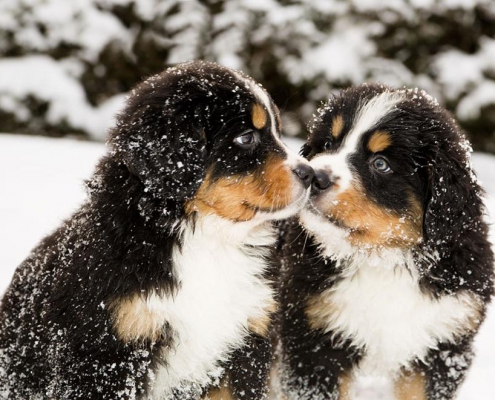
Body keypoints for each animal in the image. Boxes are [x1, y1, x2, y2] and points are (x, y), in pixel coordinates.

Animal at [0, 60, 314, 400]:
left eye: (278, 131)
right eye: (246, 138)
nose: (310, 174)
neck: (208, 239)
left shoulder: (245, 344)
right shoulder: (109, 353)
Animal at [278, 84, 494, 400]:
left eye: (381, 164)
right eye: (328, 143)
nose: (315, 176)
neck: (383, 259)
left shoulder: (442, 345)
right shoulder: (314, 341)